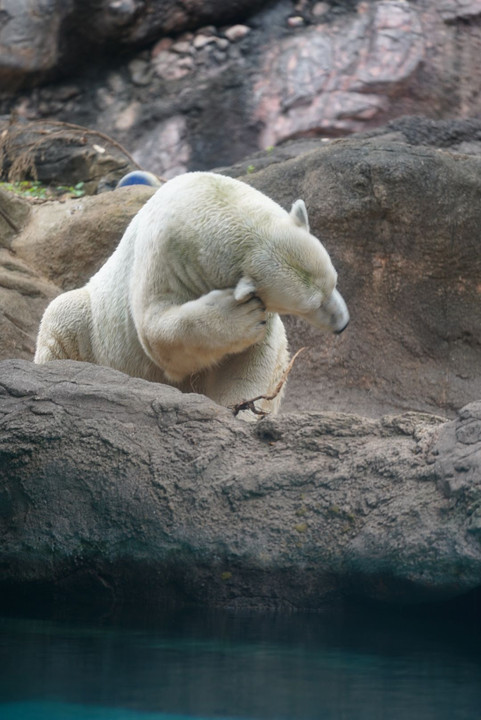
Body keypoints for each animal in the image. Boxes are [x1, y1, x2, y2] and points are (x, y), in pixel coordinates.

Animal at [34, 172, 348, 420]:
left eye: (334, 282)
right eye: (312, 305)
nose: (343, 323)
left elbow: (251, 358)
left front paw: (241, 411)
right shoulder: (164, 256)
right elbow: (156, 330)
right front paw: (239, 315)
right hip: (95, 326)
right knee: (62, 314)